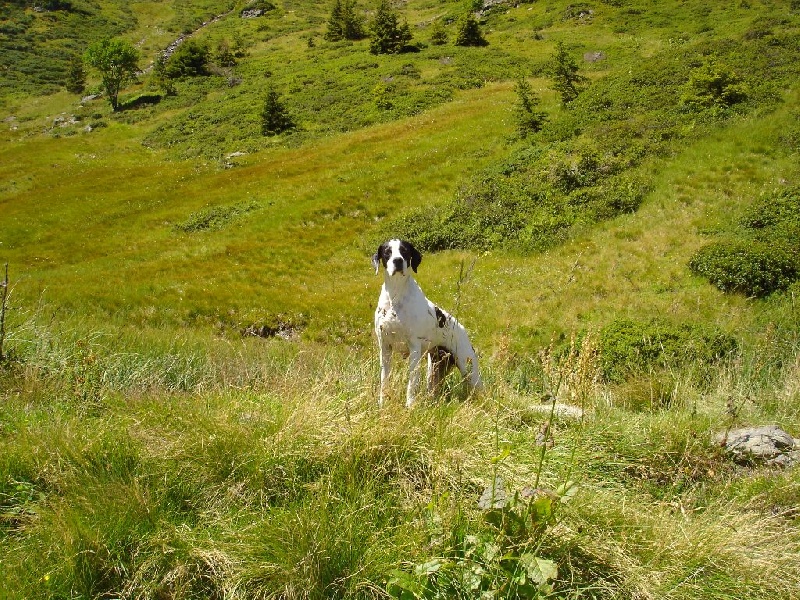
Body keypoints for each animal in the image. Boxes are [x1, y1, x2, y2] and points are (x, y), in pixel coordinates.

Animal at [370, 239, 482, 408]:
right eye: (387, 252)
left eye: (404, 251)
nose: (398, 261)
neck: (396, 296)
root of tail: (461, 328)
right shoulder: (385, 347)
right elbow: (384, 381)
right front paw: (382, 405)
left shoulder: (414, 349)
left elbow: (412, 383)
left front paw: (409, 406)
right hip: (434, 371)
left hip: (469, 369)